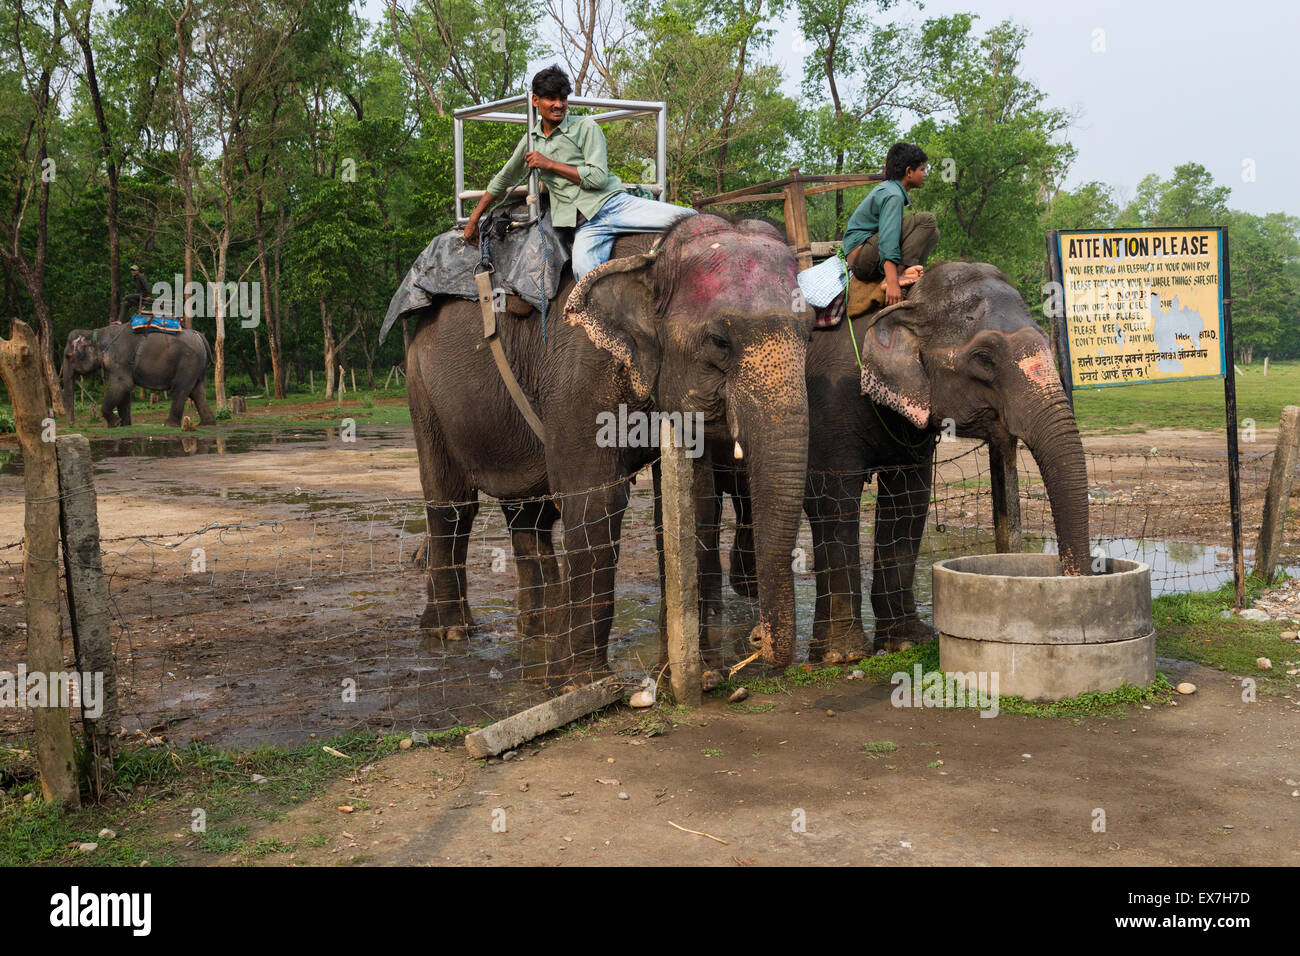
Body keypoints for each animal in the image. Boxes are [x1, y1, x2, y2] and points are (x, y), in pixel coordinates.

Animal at [62, 325, 216, 428]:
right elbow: (124, 390)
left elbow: (122, 385)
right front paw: (124, 425)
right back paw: (207, 423)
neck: (96, 333)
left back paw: (169, 425)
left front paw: (115, 423)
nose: (72, 425)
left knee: (180, 389)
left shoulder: (120, 359)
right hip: (197, 366)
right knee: (197, 391)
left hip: (188, 362)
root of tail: (200, 336)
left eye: (68, 356)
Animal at [405, 213, 814, 681]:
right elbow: (596, 499)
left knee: (528, 512)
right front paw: (584, 682)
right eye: (719, 341)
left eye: (811, 334)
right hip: (422, 390)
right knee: (452, 505)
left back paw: (538, 632)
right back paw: (451, 634)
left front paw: (698, 674)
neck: (654, 255)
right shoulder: (580, 371)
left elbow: (694, 499)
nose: (757, 640)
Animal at [728, 260, 1090, 663]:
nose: (1071, 580)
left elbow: (908, 498)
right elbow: (832, 499)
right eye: (984, 358)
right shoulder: (828, 401)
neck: (909, 301)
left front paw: (906, 642)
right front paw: (844, 656)